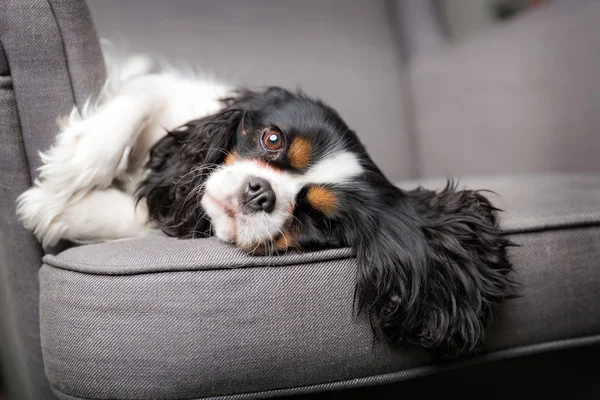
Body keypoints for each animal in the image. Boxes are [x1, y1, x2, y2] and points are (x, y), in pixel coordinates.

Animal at [16, 54, 516, 358]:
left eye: (316, 217)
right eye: (271, 139)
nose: (261, 193)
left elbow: (135, 216)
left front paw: (50, 206)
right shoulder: (171, 94)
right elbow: (142, 96)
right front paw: (76, 163)